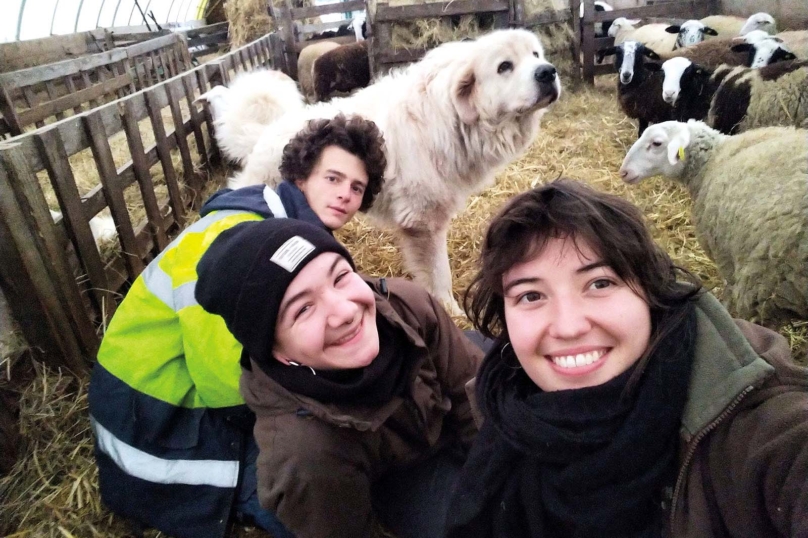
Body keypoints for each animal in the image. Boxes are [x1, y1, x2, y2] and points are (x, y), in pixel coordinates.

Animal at [202, 28, 560, 314]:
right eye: (504, 67)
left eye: (535, 55)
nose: (548, 72)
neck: (449, 117)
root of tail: (265, 134)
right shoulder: (423, 222)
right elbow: (439, 274)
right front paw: (452, 311)